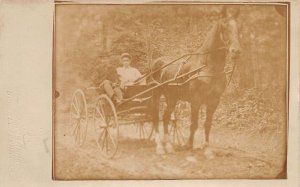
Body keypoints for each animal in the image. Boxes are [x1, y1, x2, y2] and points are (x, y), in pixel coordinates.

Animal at [150, 6, 241, 155]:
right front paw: (189, 146)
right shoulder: (196, 101)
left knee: (166, 117)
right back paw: (160, 147)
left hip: (172, 98)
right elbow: (194, 124)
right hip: (156, 95)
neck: (208, 67)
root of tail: (157, 61)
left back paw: (168, 145)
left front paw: (207, 148)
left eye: (238, 28)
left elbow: (207, 124)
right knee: (155, 117)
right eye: (224, 26)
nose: (236, 51)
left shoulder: (214, 101)